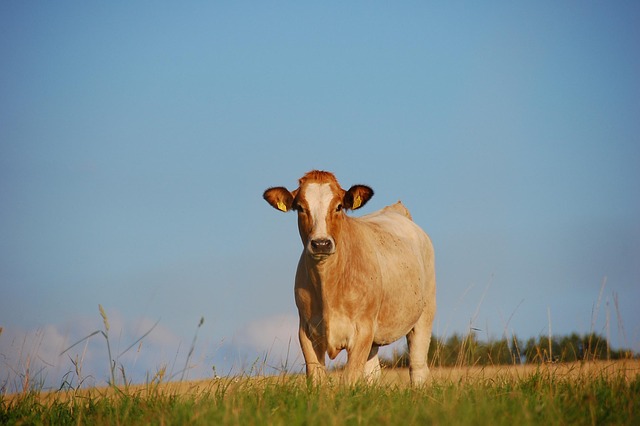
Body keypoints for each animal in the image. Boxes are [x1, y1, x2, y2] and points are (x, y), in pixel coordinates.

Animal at [263, 170, 436, 385]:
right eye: (300, 208)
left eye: (338, 207)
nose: (321, 243)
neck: (328, 287)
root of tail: (396, 210)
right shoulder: (306, 331)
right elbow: (316, 378)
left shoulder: (362, 330)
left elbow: (350, 378)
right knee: (373, 373)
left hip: (424, 313)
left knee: (417, 366)